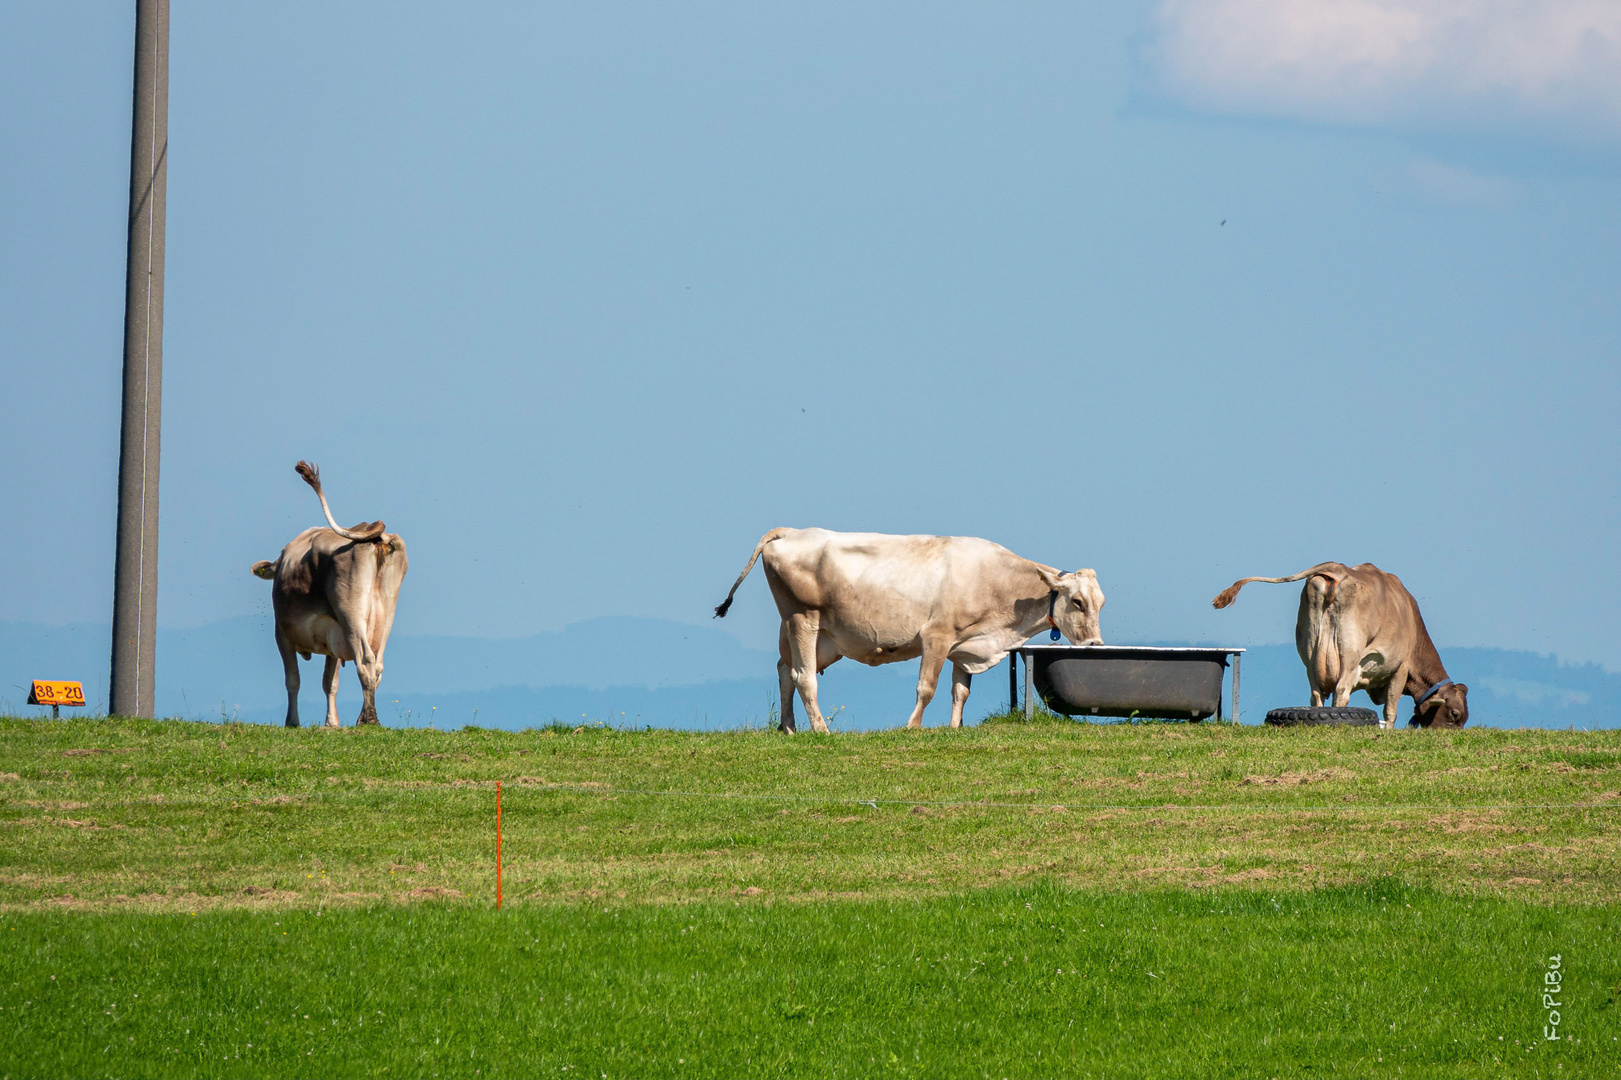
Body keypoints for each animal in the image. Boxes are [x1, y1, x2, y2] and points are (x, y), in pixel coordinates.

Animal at [252, 457, 408, 726]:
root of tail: (375, 533)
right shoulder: (332, 639)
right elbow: (329, 683)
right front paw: (331, 723)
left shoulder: (281, 634)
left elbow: (293, 680)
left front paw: (292, 721)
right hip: (386, 611)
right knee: (377, 664)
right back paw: (365, 716)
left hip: (350, 613)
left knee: (365, 660)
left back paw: (368, 719)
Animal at [713, 522, 1102, 726]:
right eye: (1078, 602)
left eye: (1101, 603)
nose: (1096, 646)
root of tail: (791, 530)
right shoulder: (936, 636)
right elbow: (926, 688)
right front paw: (913, 727)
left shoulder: (964, 647)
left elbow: (960, 692)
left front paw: (954, 729)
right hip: (802, 619)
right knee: (803, 677)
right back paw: (821, 731)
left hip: (815, 636)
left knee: (784, 669)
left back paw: (788, 728)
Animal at [1218, 557, 1471, 726]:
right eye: (1455, 714)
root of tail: (1335, 568)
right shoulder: (1400, 669)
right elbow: (1390, 710)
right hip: (1350, 652)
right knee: (1341, 692)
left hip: (1308, 648)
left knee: (1316, 694)